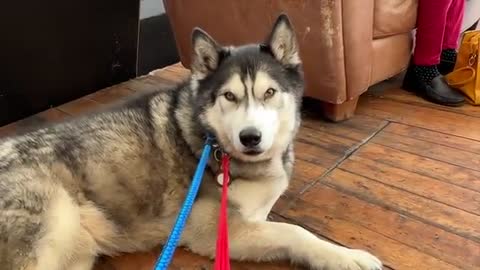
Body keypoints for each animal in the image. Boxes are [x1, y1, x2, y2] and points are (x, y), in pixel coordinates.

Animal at [0, 15, 382, 270]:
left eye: (269, 93)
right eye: (229, 96)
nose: (250, 137)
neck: (217, 148)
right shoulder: (218, 232)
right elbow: (296, 232)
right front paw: (345, 257)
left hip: (77, 250)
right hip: (55, 226)